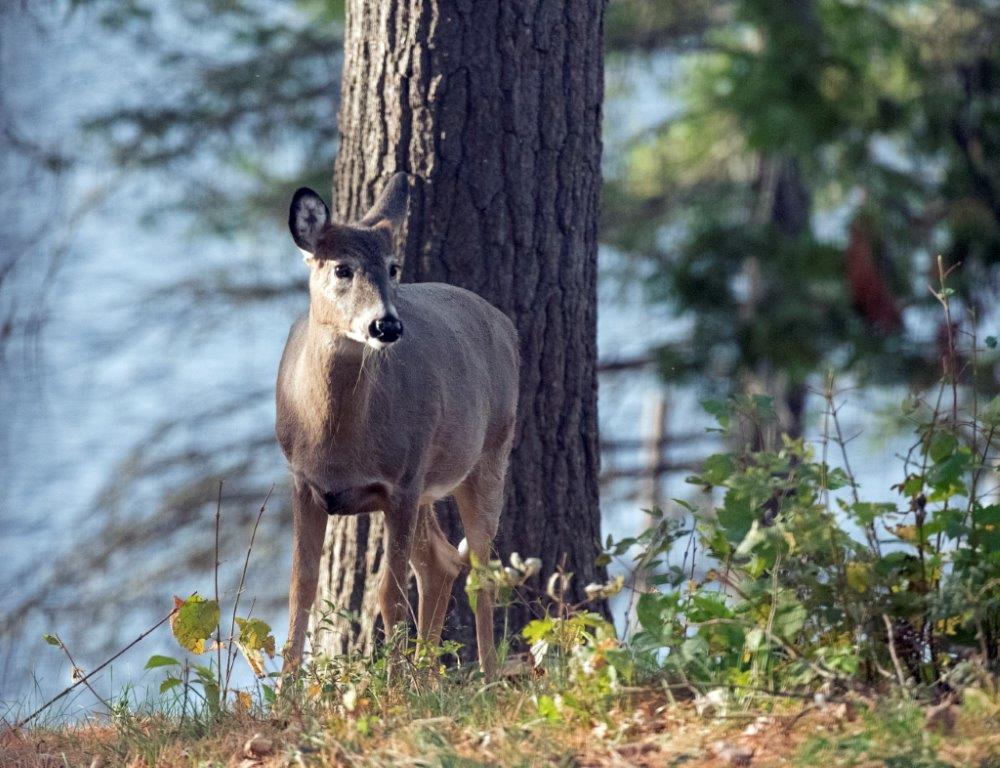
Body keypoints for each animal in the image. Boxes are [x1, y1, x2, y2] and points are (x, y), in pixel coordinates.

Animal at [275, 173, 519, 678]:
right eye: (342, 268)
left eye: (392, 266)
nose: (385, 326)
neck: (334, 439)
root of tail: (506, 325)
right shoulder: (303, 481)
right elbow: (301, 589)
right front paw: (286, 691)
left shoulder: (401, 482)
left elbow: (388, 594)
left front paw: (393, 682)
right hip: (428, 481)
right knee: (441, 562)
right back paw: (428, 673)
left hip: (488, 452)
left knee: (481, 569)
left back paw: (486, 676)